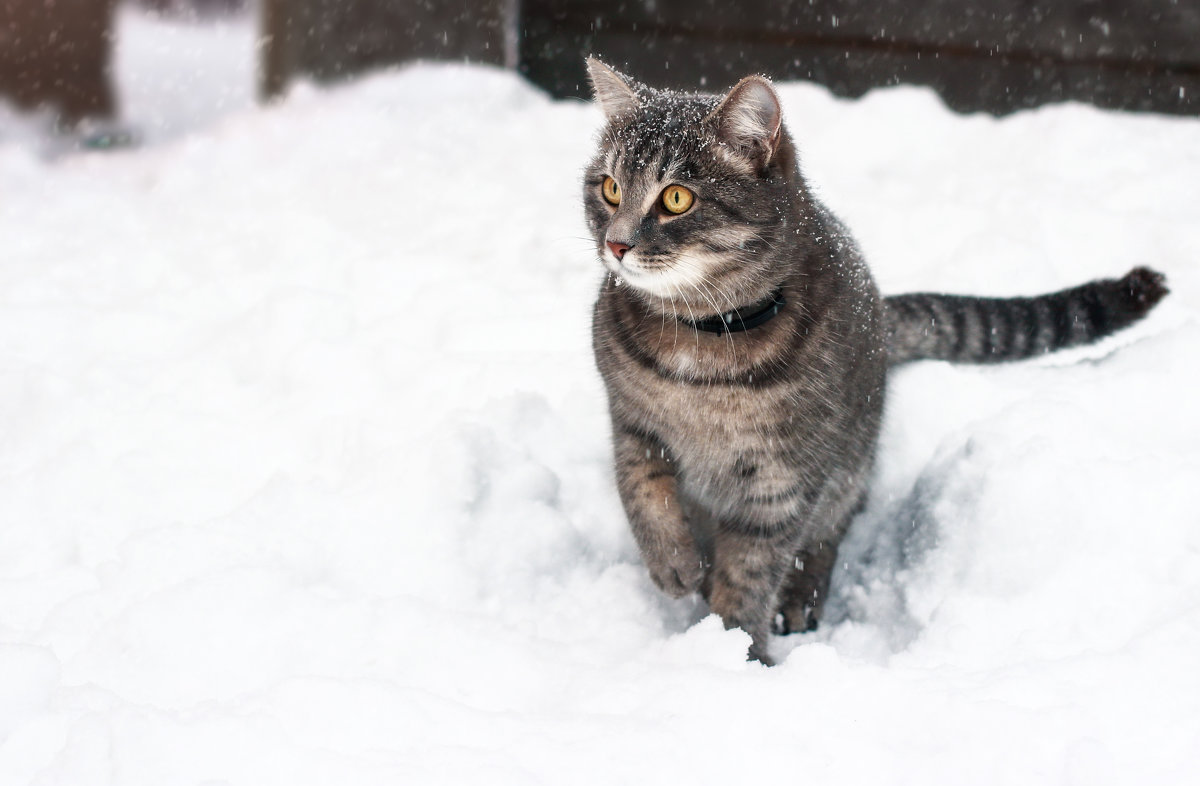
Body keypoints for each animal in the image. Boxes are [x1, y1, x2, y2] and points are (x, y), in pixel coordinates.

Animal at [585, 58, 1166, 667]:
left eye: (676, 198)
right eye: (610, 188)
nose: (616, 244)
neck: (701, 345)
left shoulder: (783, 479)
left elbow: (750, 573)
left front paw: (732, 652)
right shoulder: (631, 422)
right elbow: (642, 491)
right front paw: (674, 564)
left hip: (847, 469)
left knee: (827, 535)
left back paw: (800, 598)